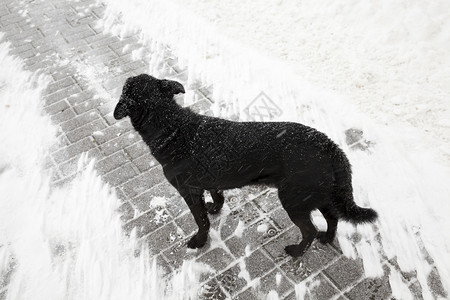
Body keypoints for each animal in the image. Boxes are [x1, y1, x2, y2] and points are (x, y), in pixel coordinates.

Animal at [114, 74, 378, 256]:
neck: (172, 127)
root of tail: (329, 145)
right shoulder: (211, 181)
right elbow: (217, 196)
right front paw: (215, 207)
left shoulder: (189, 191)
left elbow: (201, 221)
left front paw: (200, 241)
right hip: (316, 193)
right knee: (333, 217)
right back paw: (326, 238)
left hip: (294, 199)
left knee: (310, 230)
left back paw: (297, 251)